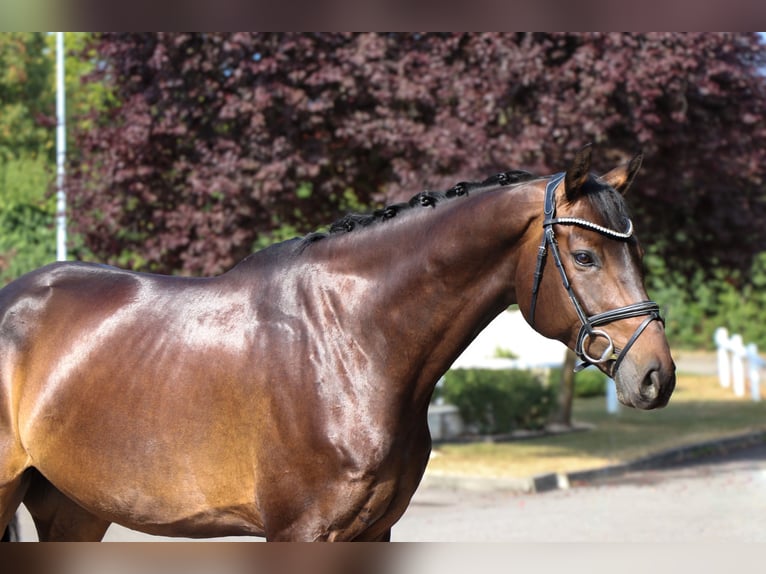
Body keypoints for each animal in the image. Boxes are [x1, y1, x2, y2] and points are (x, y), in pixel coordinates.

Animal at [0, 146, 675, 541]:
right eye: (585, 256)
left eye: (637, 250)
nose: (655, 375)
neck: (352, 340)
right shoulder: (299, 534)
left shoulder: (373, 532)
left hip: (75, 507)